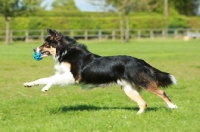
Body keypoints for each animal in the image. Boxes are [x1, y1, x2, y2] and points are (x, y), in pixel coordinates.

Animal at [23, 29, 178, 114]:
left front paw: (43, 88)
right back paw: (138, 115)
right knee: (143, 103)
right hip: (128, 88)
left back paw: (173, 106)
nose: (34, 49)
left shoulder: (73, 77)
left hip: (143, 81)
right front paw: (30, 84)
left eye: (45, 44)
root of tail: (142, 61)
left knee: (162, 93)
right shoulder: (62, 74)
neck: (66, 52)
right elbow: (45, 78)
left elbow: (51, 79)